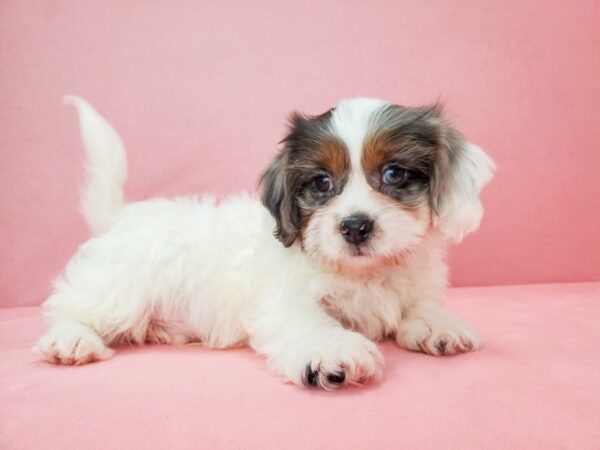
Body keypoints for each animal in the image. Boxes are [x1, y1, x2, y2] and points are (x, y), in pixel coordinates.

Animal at [35, 96, 496, 390]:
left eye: (394, 174)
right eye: (321, 182)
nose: (355, 226)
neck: (364, 272)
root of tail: (121, 216)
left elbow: (420, 304)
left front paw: (436, 323)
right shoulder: (285, 299)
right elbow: (309, 322)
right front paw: (331, 350)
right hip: (119, 291)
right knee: (71, 307)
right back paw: (71, 339)